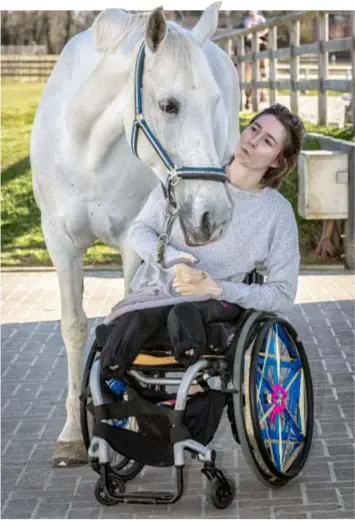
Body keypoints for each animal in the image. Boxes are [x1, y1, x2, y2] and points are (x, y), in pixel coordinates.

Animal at [31, 3, 242, 468]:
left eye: (214, 102)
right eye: (169, 105)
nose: (214, 216)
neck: (87, 151)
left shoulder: (132, 240)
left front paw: (124, 419)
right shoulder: (59, 241)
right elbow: (74, 326)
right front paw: (72, 435)